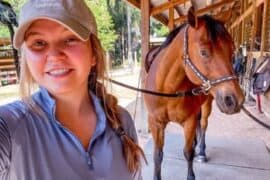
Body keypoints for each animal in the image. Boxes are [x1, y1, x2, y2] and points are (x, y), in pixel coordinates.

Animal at [143, 8, 245, 180]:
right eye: (203, 52)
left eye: (232, 52)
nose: (235, 100)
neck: (168, 89)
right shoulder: (155, 122)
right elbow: (158, 155)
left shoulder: (189, 121)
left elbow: (188, 153)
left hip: (207, 104)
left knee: (203, 125)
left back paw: (201, 151)